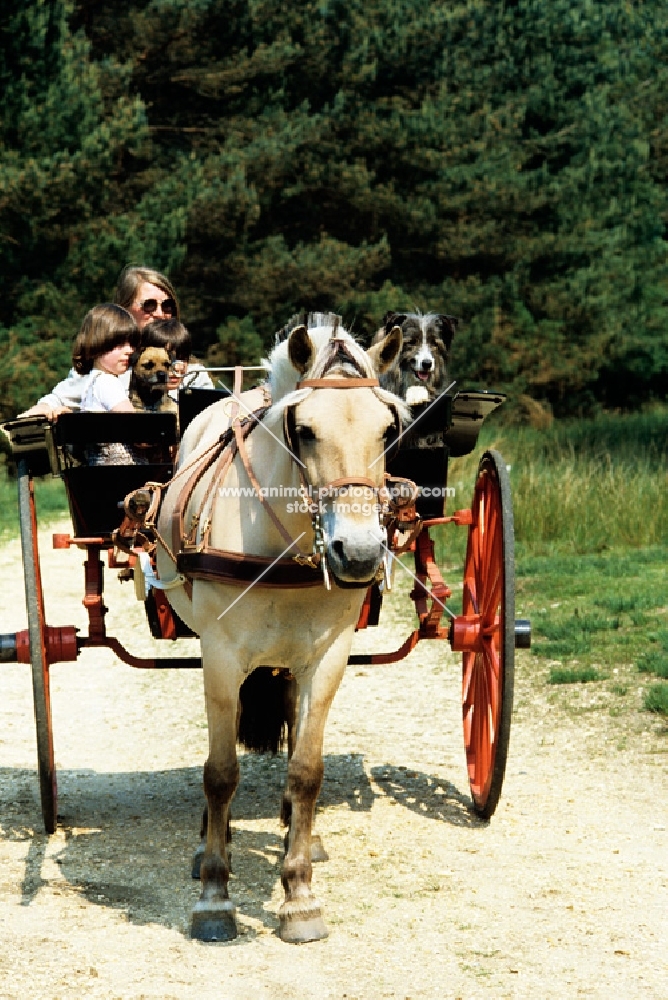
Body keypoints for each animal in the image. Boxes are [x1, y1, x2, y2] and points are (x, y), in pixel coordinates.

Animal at [158, 316, 408, 940]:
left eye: (387, 428)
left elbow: (307, 770)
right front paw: (215, 894)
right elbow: (220, 772)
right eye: (306, 430)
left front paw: (299, 893)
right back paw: (211, 841)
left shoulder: (328, 655)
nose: (358, 552)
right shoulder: (221, 654)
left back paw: (304, 834)